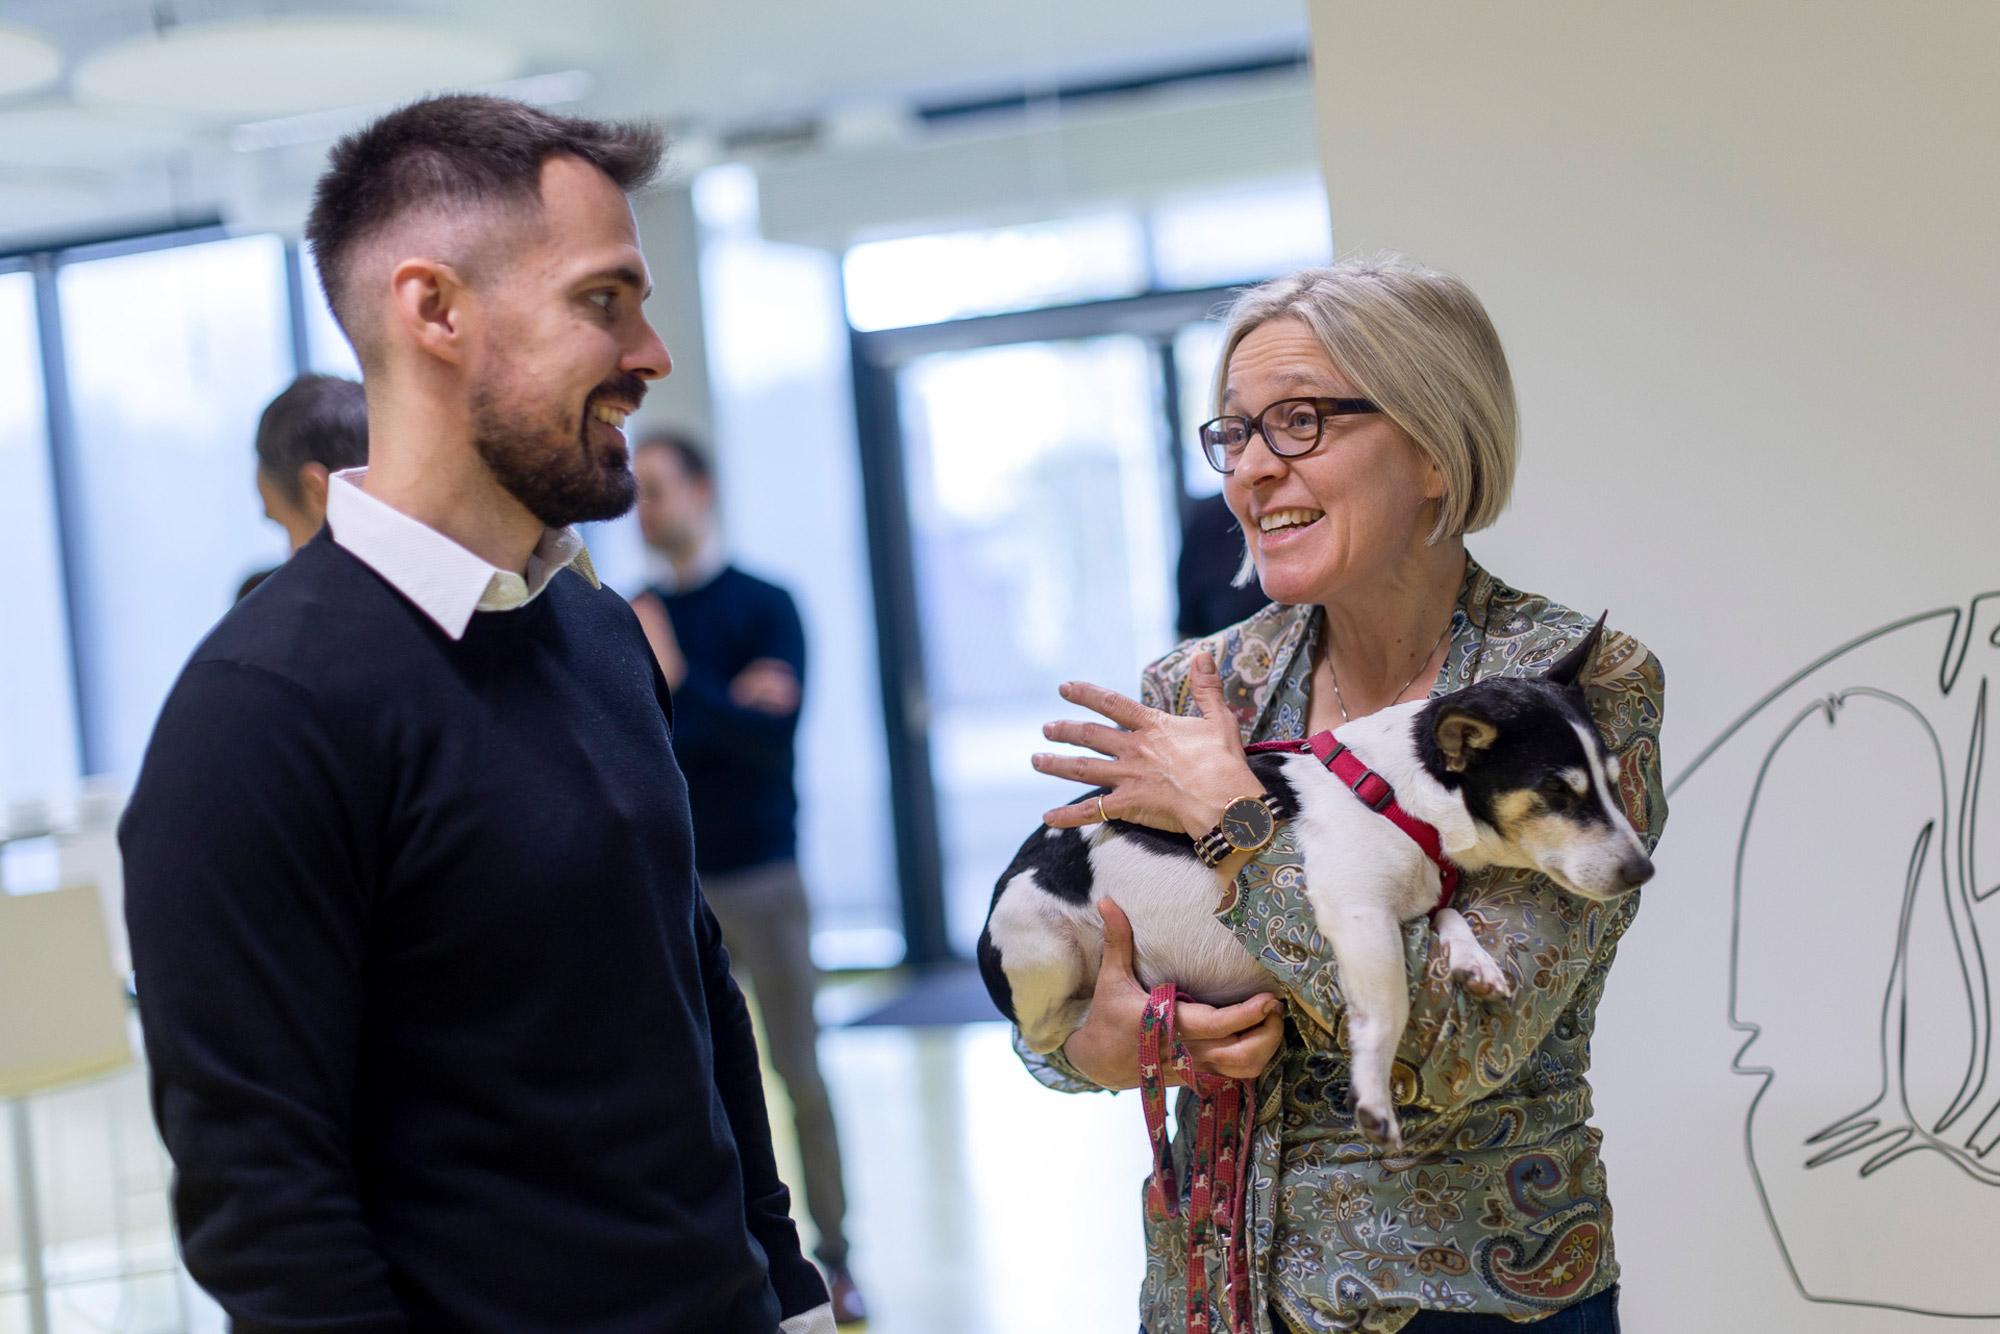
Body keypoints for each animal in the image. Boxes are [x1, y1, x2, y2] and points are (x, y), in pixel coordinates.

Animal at [976, 620, 1648, 1144]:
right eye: (1557, 792)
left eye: (1614, 783)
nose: (1644, 869)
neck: (1403, 791)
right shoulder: (1358, 913)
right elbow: (1388, 1009)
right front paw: (1373, 1092)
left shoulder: (1411, 903)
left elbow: (1447, 914)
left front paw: (1474, 960)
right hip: (1045, 946)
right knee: (1049, 1027)